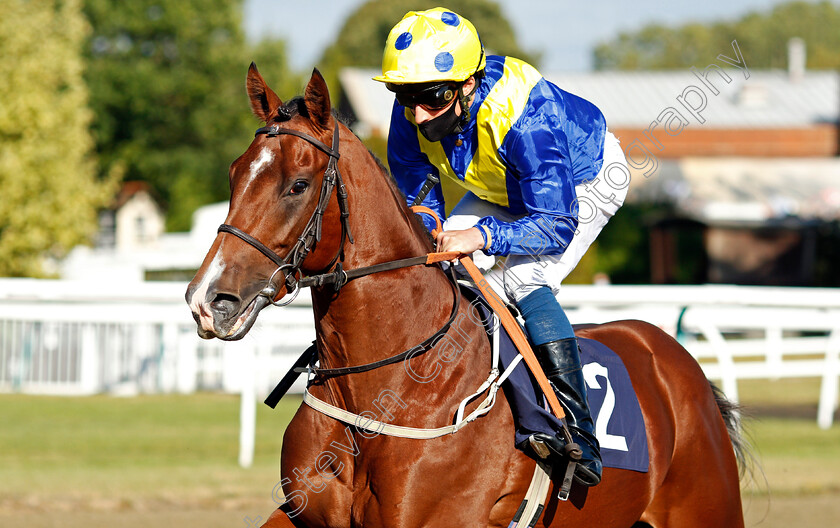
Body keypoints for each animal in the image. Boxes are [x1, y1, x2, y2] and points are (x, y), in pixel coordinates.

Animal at [185, 64, 748, 524]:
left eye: (298, 185)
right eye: (235, 174)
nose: (209, 300)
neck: (385, 394)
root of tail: (672, 354)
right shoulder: (302, 513)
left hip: (708, 507)